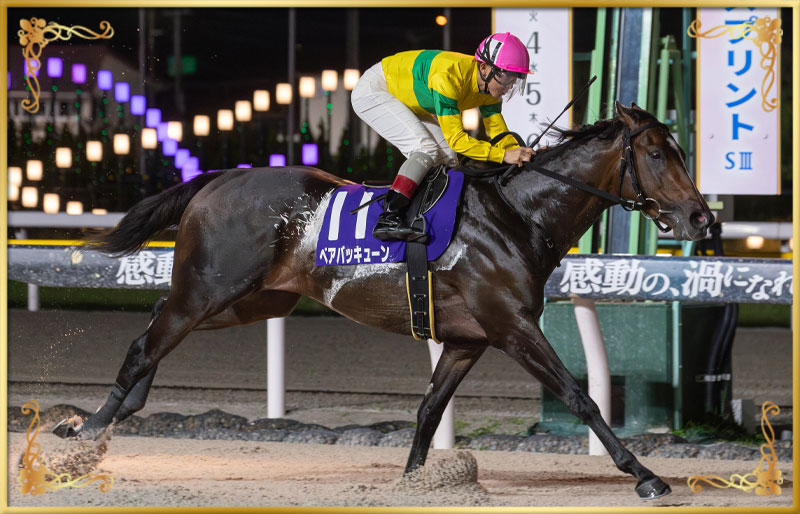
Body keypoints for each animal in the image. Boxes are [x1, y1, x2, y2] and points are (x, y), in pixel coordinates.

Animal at [58, 101, 712, 500]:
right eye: (658, 154)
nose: (701, 217)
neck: (517, 215)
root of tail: (218, 178)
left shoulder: (468, 339)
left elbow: (428, 411)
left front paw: (413, 482)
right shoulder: (512, 325)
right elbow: (582, 398)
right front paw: (645, 474)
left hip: (250, 301)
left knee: (154, 331)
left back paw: (115, 413)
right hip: (210, 289)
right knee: (145, 343)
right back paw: (84, 437)